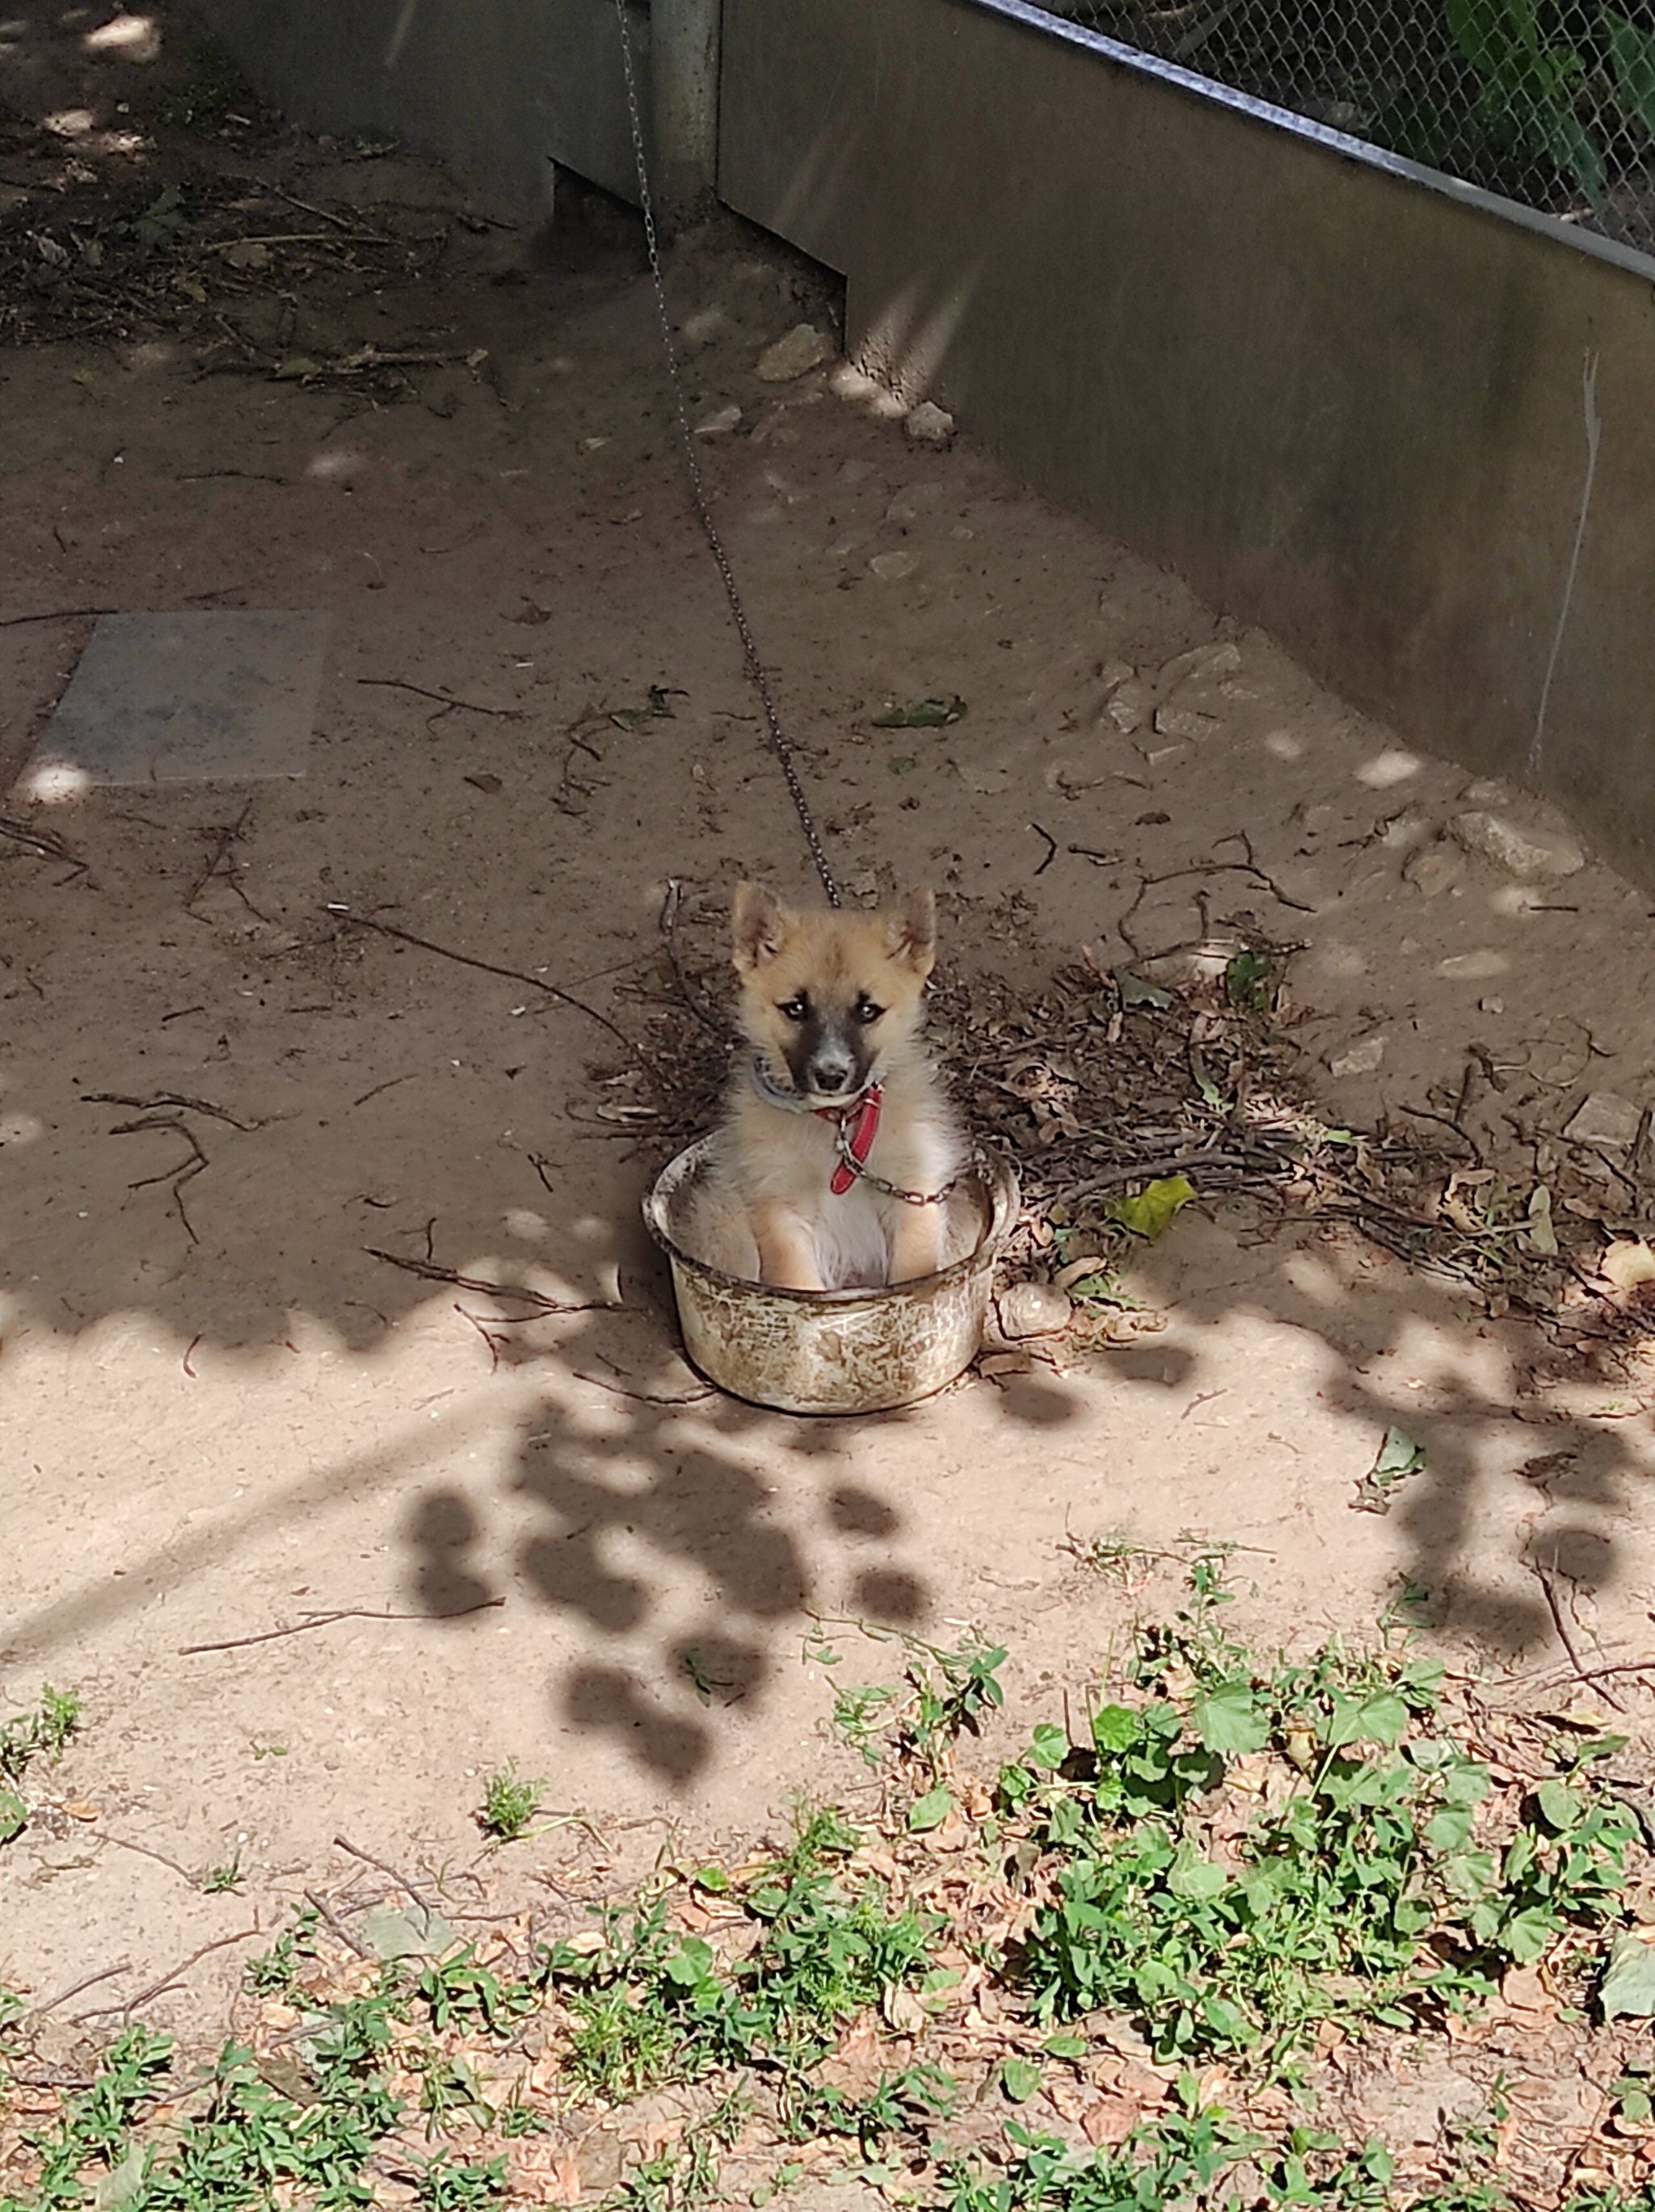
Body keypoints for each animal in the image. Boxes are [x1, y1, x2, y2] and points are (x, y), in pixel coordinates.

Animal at [685, 880, 969, 1291]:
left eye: (867, 1011)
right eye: (796, 1008)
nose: (830, 1076)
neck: (838, 1123)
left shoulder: (915, 1190)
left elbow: (914, 1272)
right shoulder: (778, 1206)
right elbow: (798, 1281)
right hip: (724, 1216)